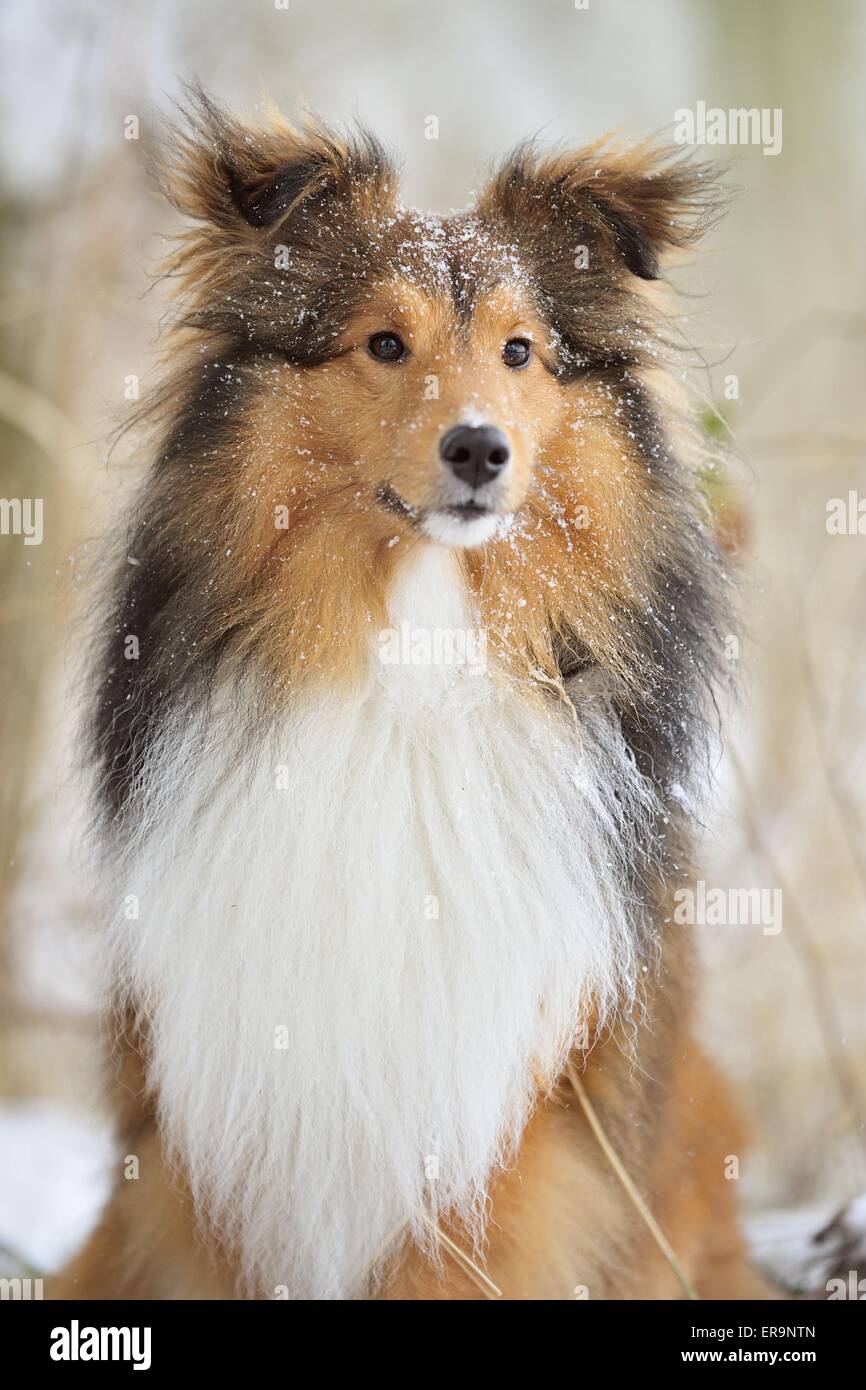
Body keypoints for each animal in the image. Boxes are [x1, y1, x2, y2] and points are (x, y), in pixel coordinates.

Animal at [57, 89, 767, 1301]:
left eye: (520, 351)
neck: (416, 663)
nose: (477, 450)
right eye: (383, 344)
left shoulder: (501, 1132)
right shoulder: (224, 1123)